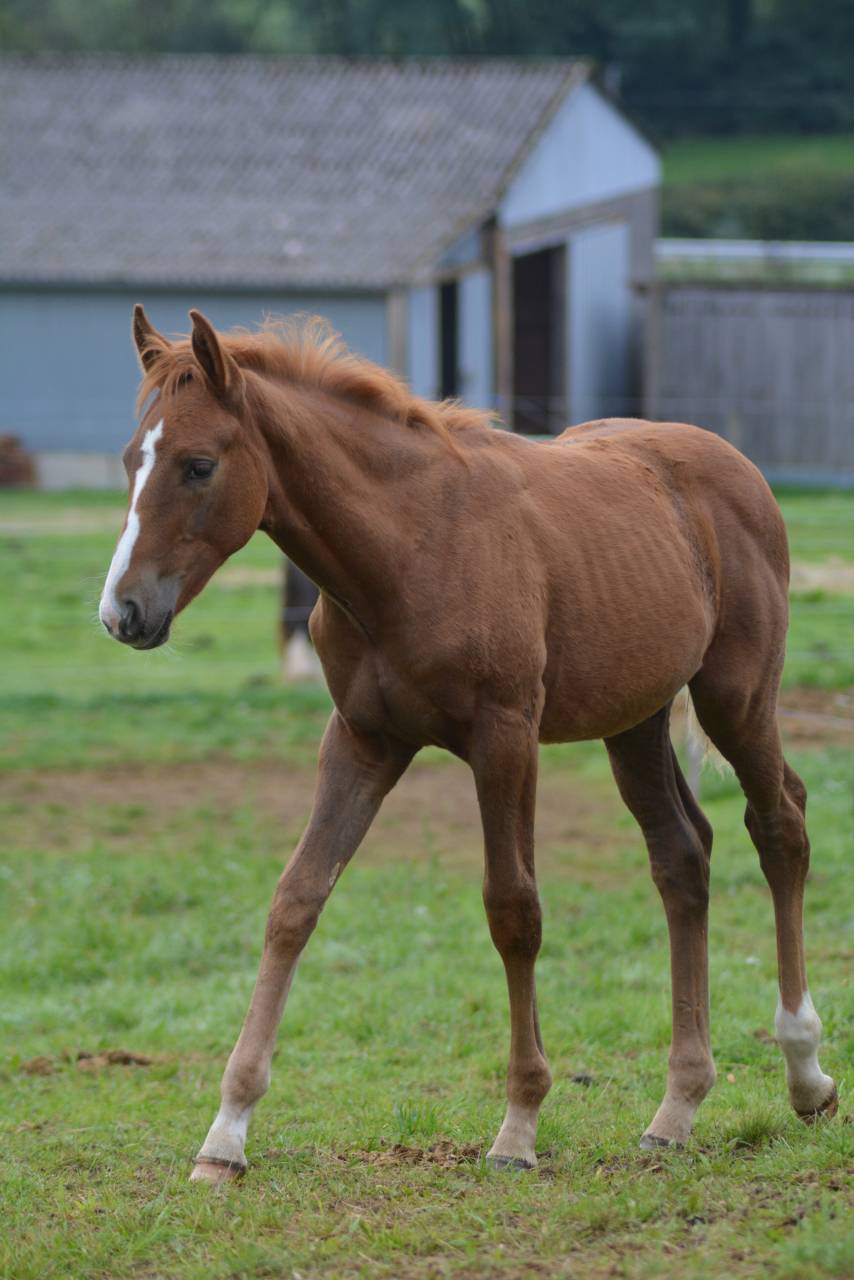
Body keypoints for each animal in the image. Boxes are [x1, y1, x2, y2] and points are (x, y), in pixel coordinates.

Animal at [99, 306, 838, 1184]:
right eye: (129, 460)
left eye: (199, 465)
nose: (122, 613)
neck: (412, 547)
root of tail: (738, 467)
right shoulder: (362, 739)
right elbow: (296, 901)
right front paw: (227, 1132)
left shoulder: (506, 737)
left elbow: (513, 910)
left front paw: (518, 1126)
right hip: (635, 718)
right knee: (682, 856)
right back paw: (677, 1107)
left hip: (736, 696)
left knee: (781, 827)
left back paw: (804, 1071)